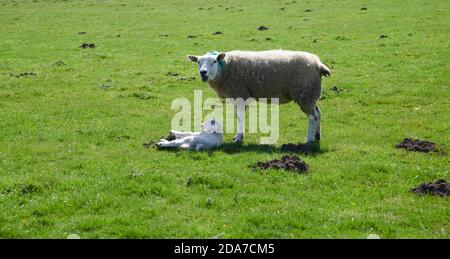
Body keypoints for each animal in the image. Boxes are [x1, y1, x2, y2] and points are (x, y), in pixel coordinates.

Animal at [186, 50, 330, 144]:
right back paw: (317, 135)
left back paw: (309, 139)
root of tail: (319, 64)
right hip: (311, 95)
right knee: (318, 113)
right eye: (198, 62)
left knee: (313, 117)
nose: (203, 73)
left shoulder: (240, 93)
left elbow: (239, 117)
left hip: (305, 94)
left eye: (214, 61)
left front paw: (238, 138)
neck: (224, 69)